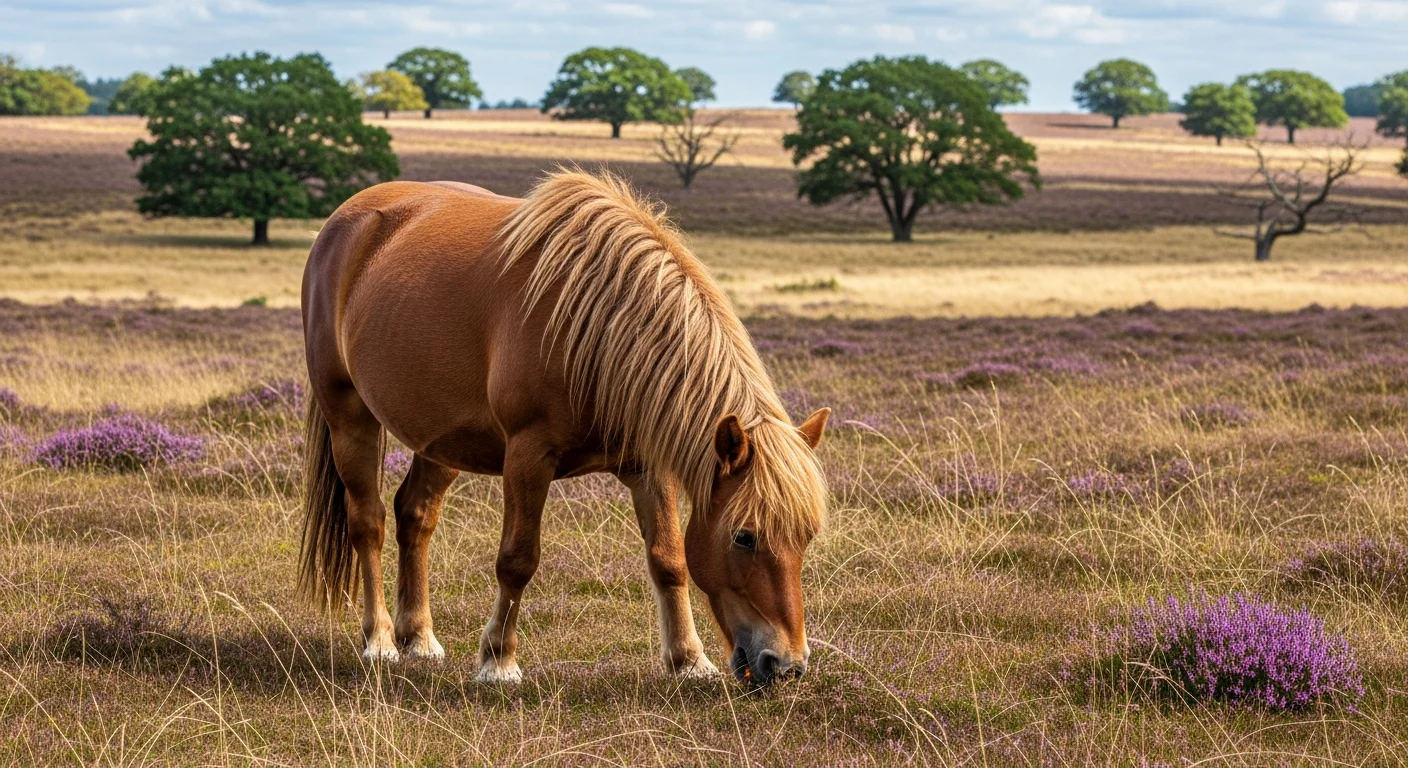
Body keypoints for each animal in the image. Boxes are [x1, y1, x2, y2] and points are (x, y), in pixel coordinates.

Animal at [298, 170, 830, 685]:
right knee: (368, 522)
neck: (592, 325)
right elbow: (517, 560)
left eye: (806, 536)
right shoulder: (528, 455)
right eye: (744, 536)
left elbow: (669, 559)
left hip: (442, 438)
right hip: (349, 416)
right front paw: (498, 661)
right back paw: (381, 640)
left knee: (415, 516)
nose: (786, 665)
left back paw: (420, 638)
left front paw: (687, 660)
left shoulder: (648, 467)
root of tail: (343, 222)